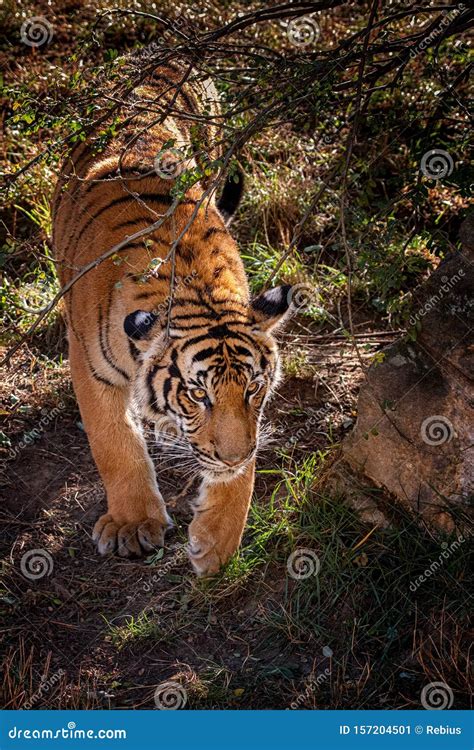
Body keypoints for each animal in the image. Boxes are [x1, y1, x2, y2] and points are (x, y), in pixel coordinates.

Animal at [51, 51, 292, 576]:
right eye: (198, 395)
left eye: (253, 390)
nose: (232, 457)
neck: (196, 292)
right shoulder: (89, 366)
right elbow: (114, 442)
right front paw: (132, 524)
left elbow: (240, 465)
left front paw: (217, 539)